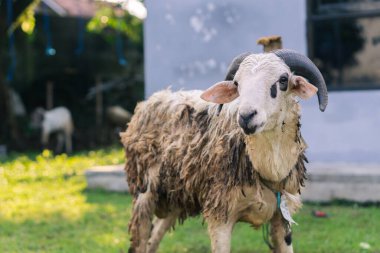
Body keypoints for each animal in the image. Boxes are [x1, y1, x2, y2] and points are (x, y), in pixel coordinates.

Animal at [121, 49, 326, 253]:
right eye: (237, 83)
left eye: (283, 79)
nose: (246, 116)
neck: (268, 168)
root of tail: (151, 100)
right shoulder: (219, 212)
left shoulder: (282, 216)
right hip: (143, 193)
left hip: (175, 196)